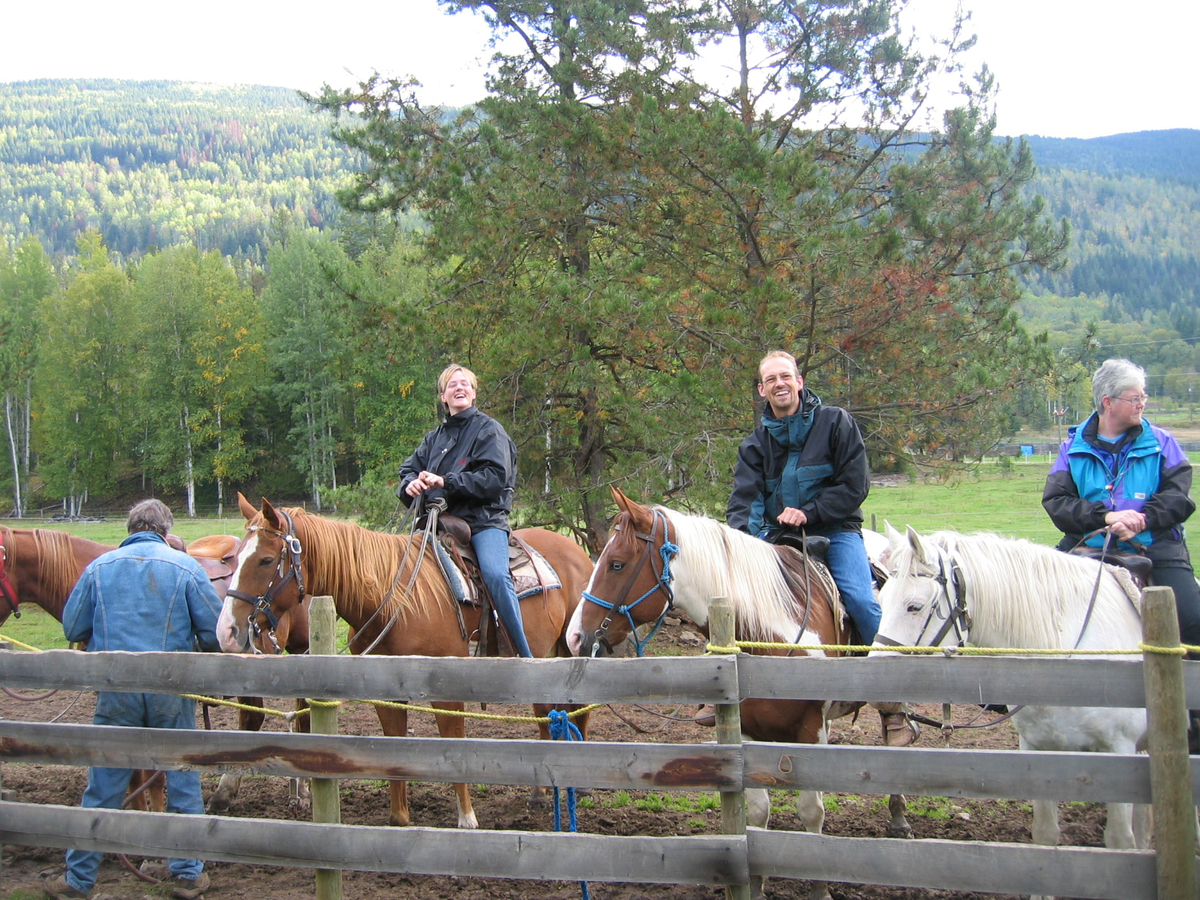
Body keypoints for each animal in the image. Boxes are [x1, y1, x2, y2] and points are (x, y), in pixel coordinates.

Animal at [217, 494, 595, 830]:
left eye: (266, 560)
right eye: (236, 559)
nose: (227, 631)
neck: (395, 599)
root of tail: (577, 551)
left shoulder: (448, 692)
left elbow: (454, 748)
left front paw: (467, 819)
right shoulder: (385, 694)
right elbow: (393, 749)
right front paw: (399, 819)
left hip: (570, 650)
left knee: (577, 709)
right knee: (546, 710)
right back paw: (540, 791)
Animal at [873, 525, 1152, 878]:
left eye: (914, 606)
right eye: (881, 599)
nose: (878, 685)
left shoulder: (1119, 754)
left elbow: (1120, 841)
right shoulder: (1037, 751)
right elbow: (1045, 835)